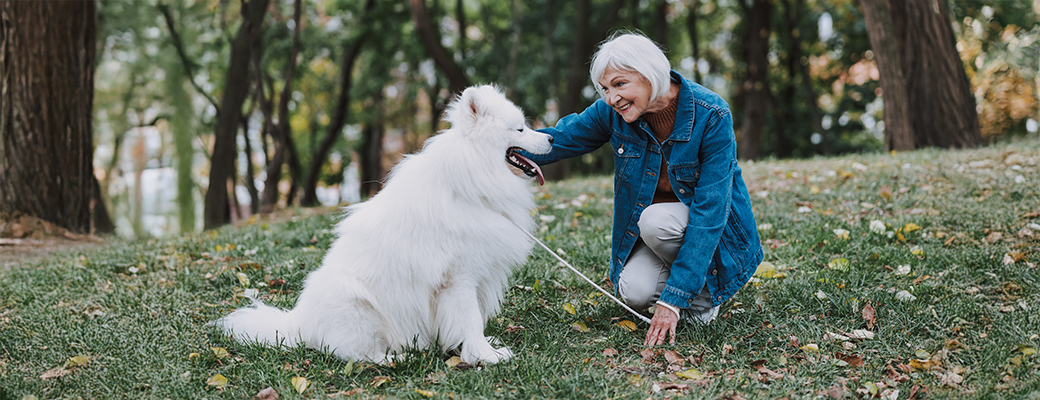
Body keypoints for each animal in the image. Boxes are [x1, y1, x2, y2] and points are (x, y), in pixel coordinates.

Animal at [212, 85, 553, 363]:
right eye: (520, 128)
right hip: (358, 305)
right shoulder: (458, 279)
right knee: (357, 355)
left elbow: (472, 322)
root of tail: (298, 324)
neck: (475, 176)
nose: (551, 137)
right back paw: (396, 357)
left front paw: (476, 348)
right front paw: (486, 356)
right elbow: (469, 320)